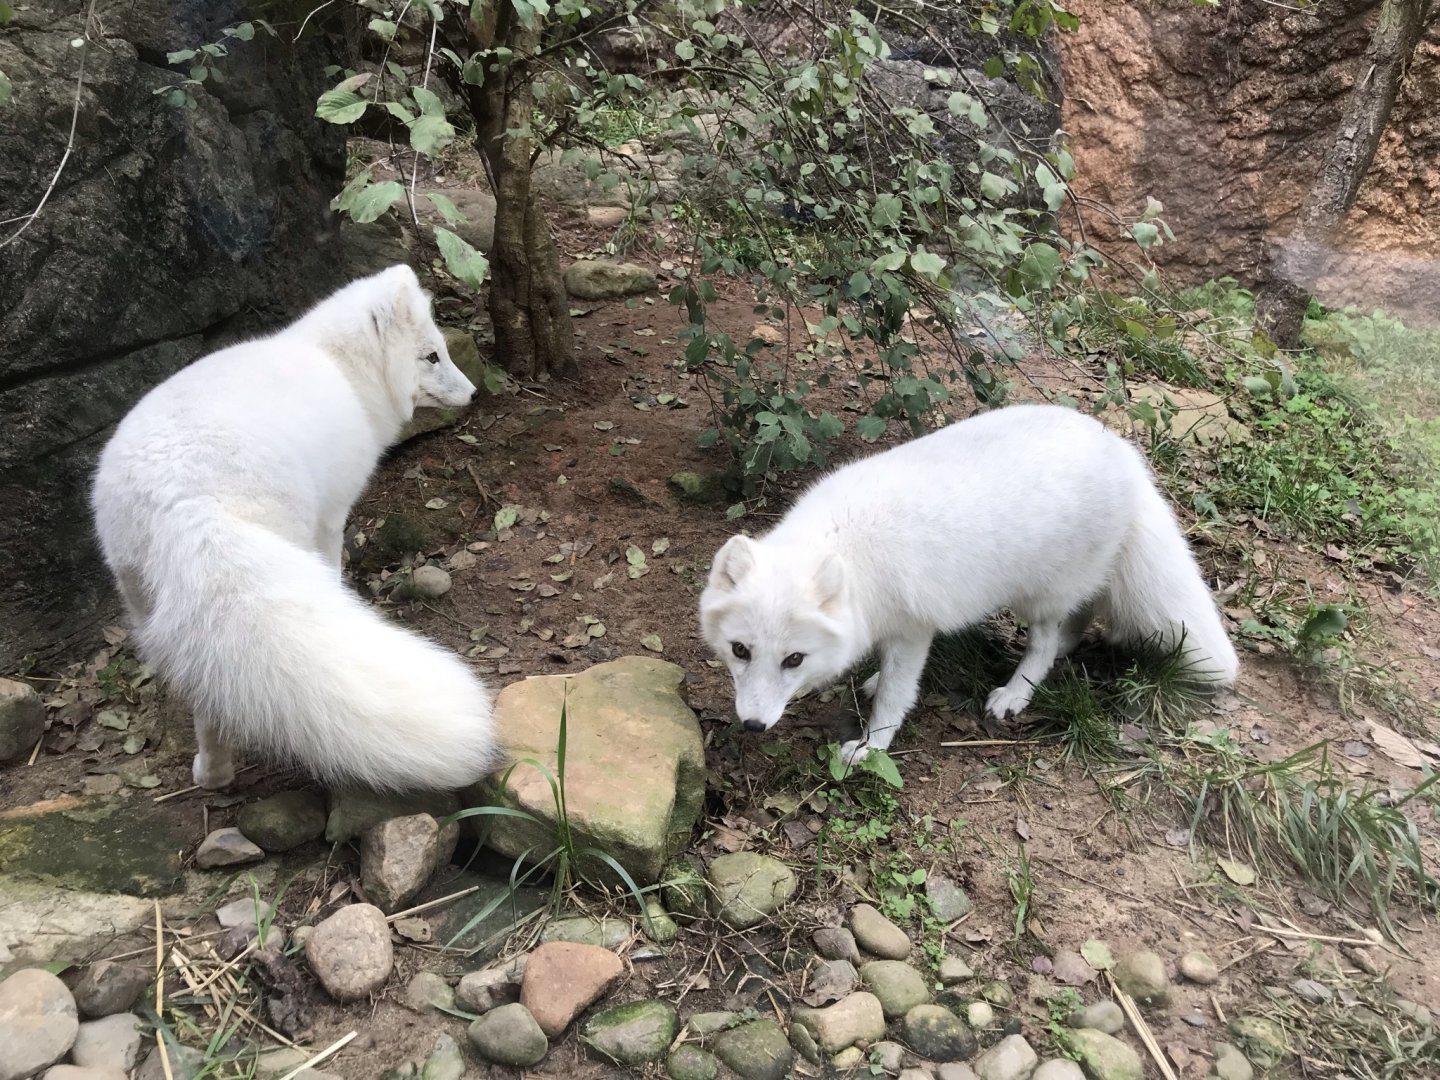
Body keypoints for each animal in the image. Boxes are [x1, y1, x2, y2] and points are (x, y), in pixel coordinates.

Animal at [91, 264, 497, 791]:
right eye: (432, 356)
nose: (474, 393)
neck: (342, 368)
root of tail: (183, 500)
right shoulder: (332, 516)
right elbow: (334, 565)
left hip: (142, 598)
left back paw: (212, 774)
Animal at [699, 403, 1239, 765]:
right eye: (740, 650)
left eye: (794, 659)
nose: (752, 726)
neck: (849, 549)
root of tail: (1125, 452)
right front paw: (869, 680)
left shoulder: (913, 629)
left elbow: (897, 695)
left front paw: (872, 746)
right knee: (1081, 617)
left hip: (1039, 596)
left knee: (1046, 643)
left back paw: (1017, 692)